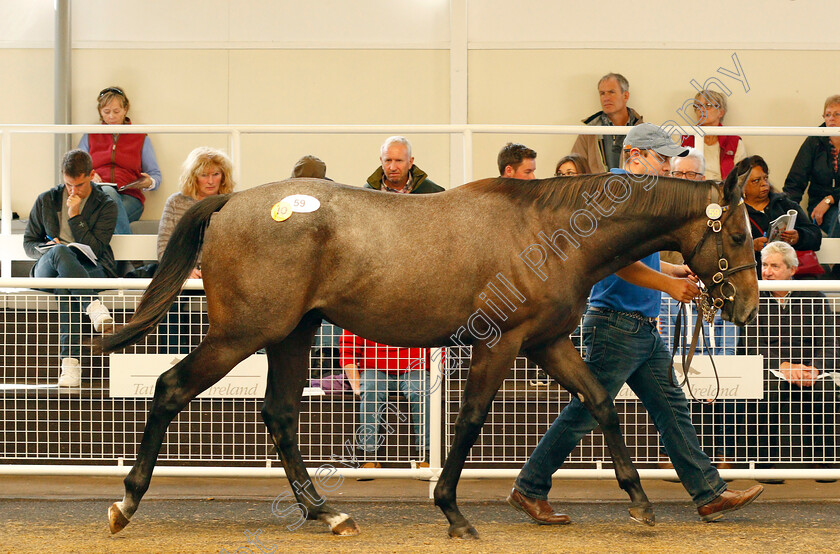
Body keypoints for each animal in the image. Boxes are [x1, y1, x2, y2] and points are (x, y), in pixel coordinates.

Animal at [101, 167, 756, 536]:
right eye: (739, 232)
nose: (747, 305)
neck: (548, 233)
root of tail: (231, 203)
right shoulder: (499, 343)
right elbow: (469, 422)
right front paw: (453, 513)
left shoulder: (545, 342)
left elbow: (600, 403)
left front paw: (641, 503)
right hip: (244, 333)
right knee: (170, 388)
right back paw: (126, 503)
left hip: (292, 334)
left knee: (281, 415)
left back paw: (326, 513)